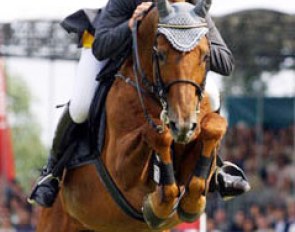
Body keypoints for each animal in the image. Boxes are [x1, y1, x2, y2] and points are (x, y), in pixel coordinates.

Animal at [36, 0, 227, 231]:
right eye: (160, 54)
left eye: (206, 55)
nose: (182, 125)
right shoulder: (120, 167)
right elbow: (159, 134)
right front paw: (157, 206)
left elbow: (214, 128)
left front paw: (190, 204)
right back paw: (46, 185)